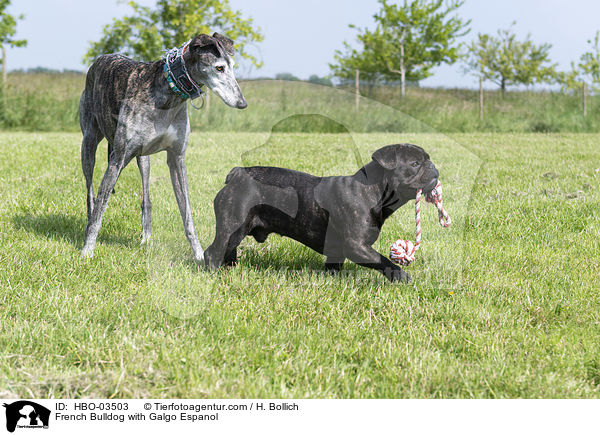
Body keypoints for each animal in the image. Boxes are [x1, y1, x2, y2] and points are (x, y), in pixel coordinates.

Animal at [204, 144, 438, 282]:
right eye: (415, 163)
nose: (433, 167)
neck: (372, 191)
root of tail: (237, 175)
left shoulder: (338, 251)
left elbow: (333, 267)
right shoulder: (357, 246)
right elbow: (382, 261)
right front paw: (401, 276)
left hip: (238, 230)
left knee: (229, 250)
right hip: (232, 225)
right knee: (213, 252)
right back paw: (214, 275)